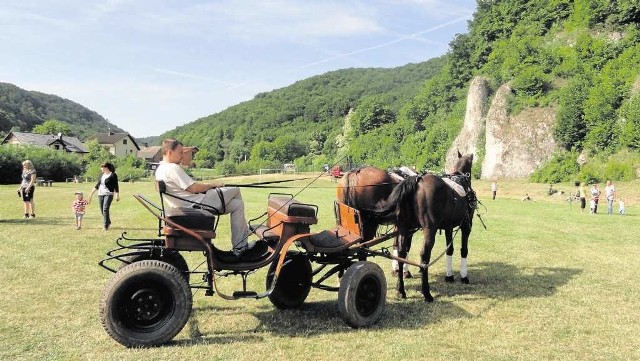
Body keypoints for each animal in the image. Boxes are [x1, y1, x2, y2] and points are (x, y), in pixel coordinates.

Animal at [376, 151, 476, 300]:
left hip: (405, 228)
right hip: (429, 229)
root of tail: (417, 181)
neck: (460, 178)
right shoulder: (466, 225)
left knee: (401, 252)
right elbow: (464, 250)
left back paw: (401, 290)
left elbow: (449, 250)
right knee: (424, 255)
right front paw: (464, 277)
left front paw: (449, 276)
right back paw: (426, 293)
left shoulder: (448, 227)